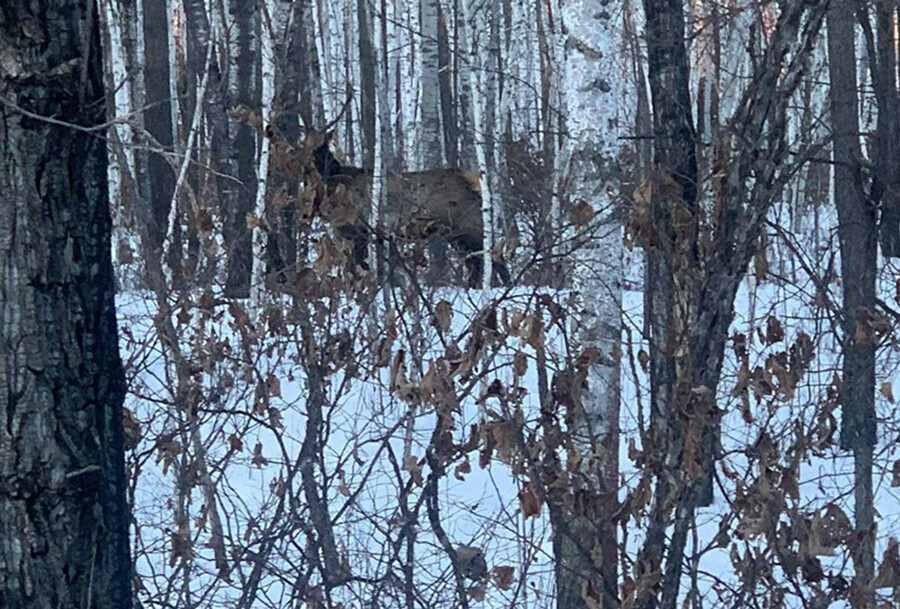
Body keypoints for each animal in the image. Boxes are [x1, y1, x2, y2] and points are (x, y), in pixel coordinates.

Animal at [296, 131, 510, 288]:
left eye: (322, 149)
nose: (313, 166)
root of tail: (472, 182)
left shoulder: (358, 231)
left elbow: (355, 266)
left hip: (466, 226)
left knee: (491, 256)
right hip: (457, 234)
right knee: (477, 261)